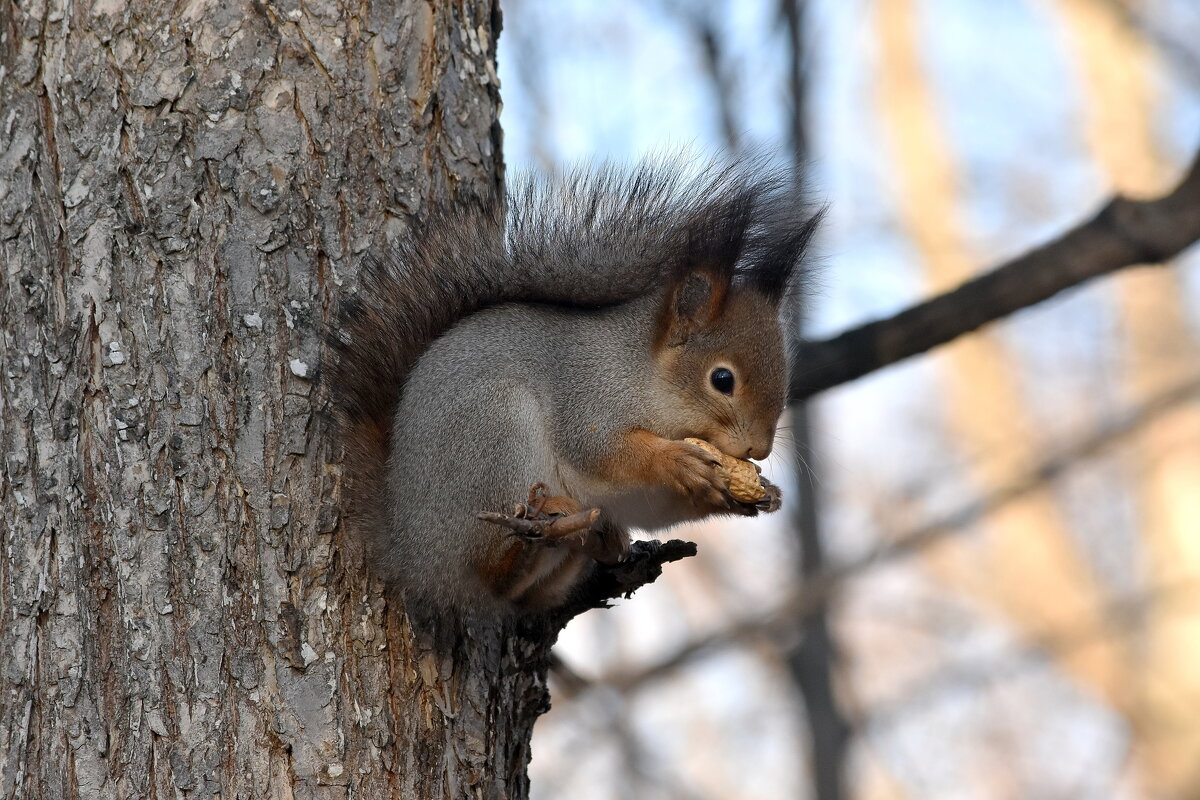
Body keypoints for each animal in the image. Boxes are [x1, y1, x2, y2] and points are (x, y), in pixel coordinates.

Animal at [331, 155, 825, 618]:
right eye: (722, 379)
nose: (759, 450)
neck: (643, 374)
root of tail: (409, 554)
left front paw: (761, 494)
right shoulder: (587, 397)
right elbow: (602, 451)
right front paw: (678, 461)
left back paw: (595, 539)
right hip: (496, 437)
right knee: (492, 573)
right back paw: (536, 536)